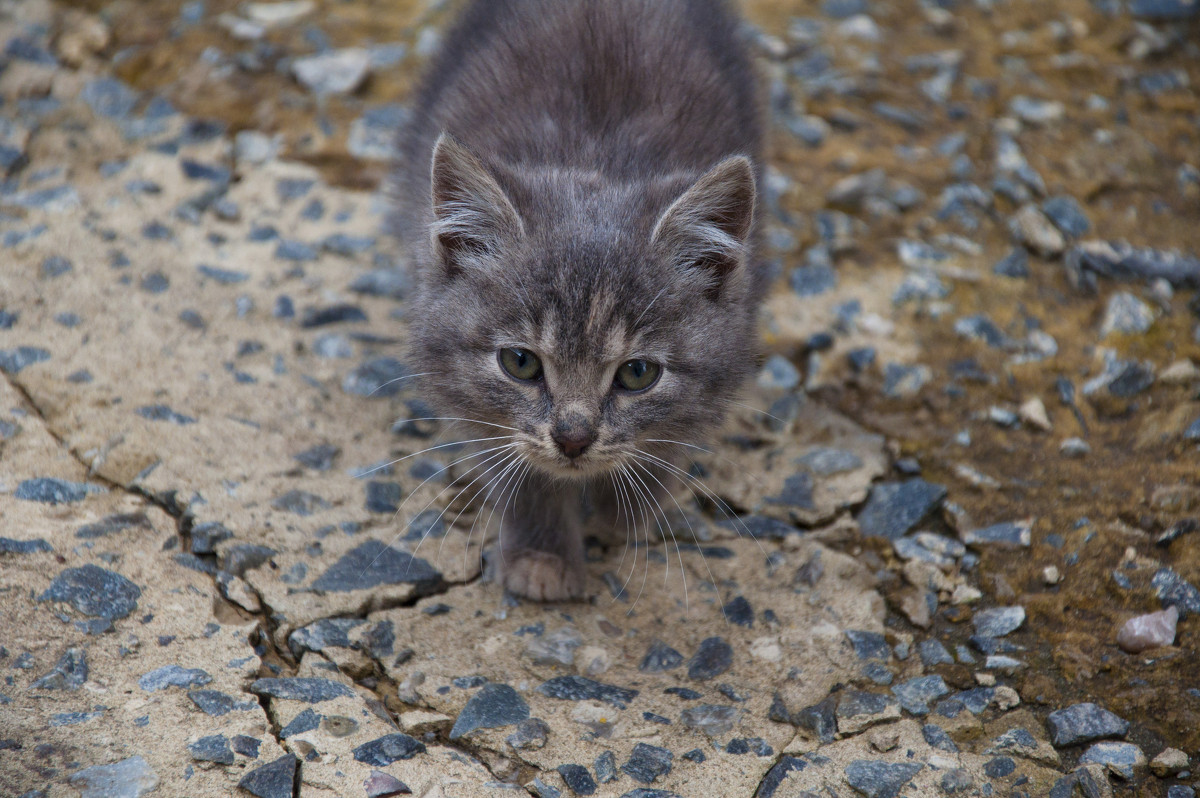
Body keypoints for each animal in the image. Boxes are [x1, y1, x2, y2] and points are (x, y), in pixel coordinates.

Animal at [396, 0, 768, 597]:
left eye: (638, 373)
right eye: (520, 362)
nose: (573, 438)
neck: (596, 159)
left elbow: (662, 449)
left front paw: (622, 515)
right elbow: (521, 470)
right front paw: (542, 558)